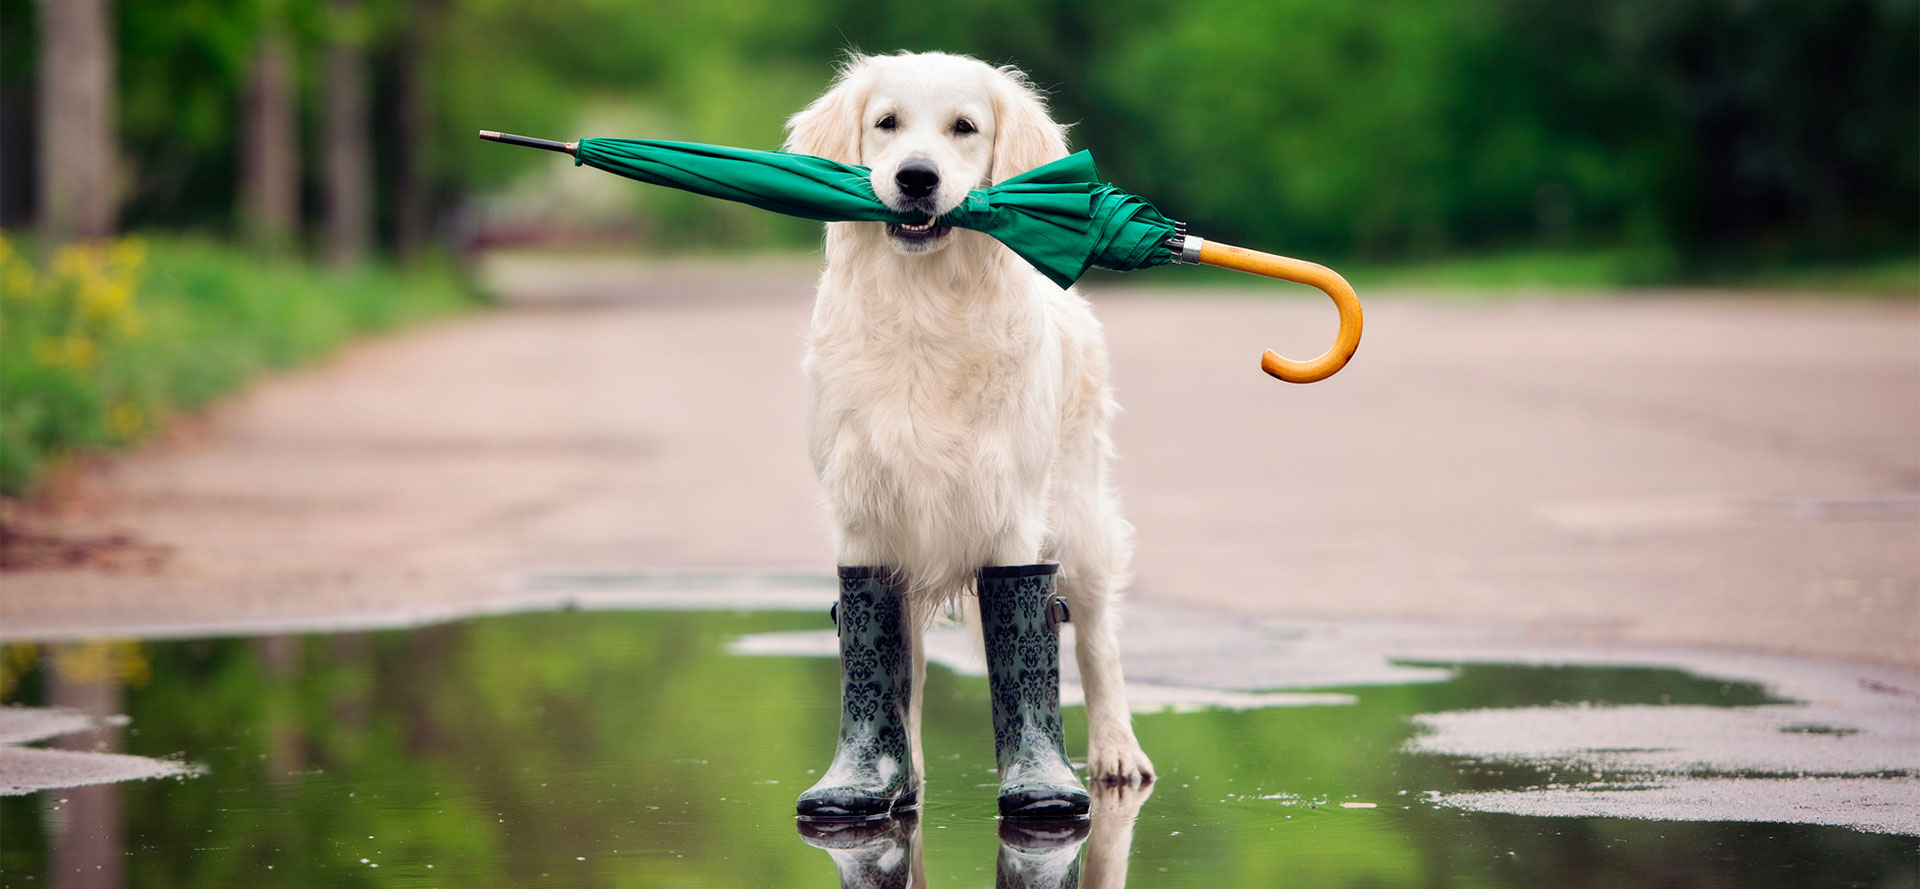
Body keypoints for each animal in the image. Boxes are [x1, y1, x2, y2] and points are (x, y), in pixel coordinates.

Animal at [783, 52, 1152, 783]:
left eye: (965, 127)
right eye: (887, 123)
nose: (916, 178)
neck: (924, 310)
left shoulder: (1010, 514)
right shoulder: (864, 515)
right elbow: (891, 663)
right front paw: (886, 774)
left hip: (1079, 516)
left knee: (1097, 638)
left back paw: (1116, 750)